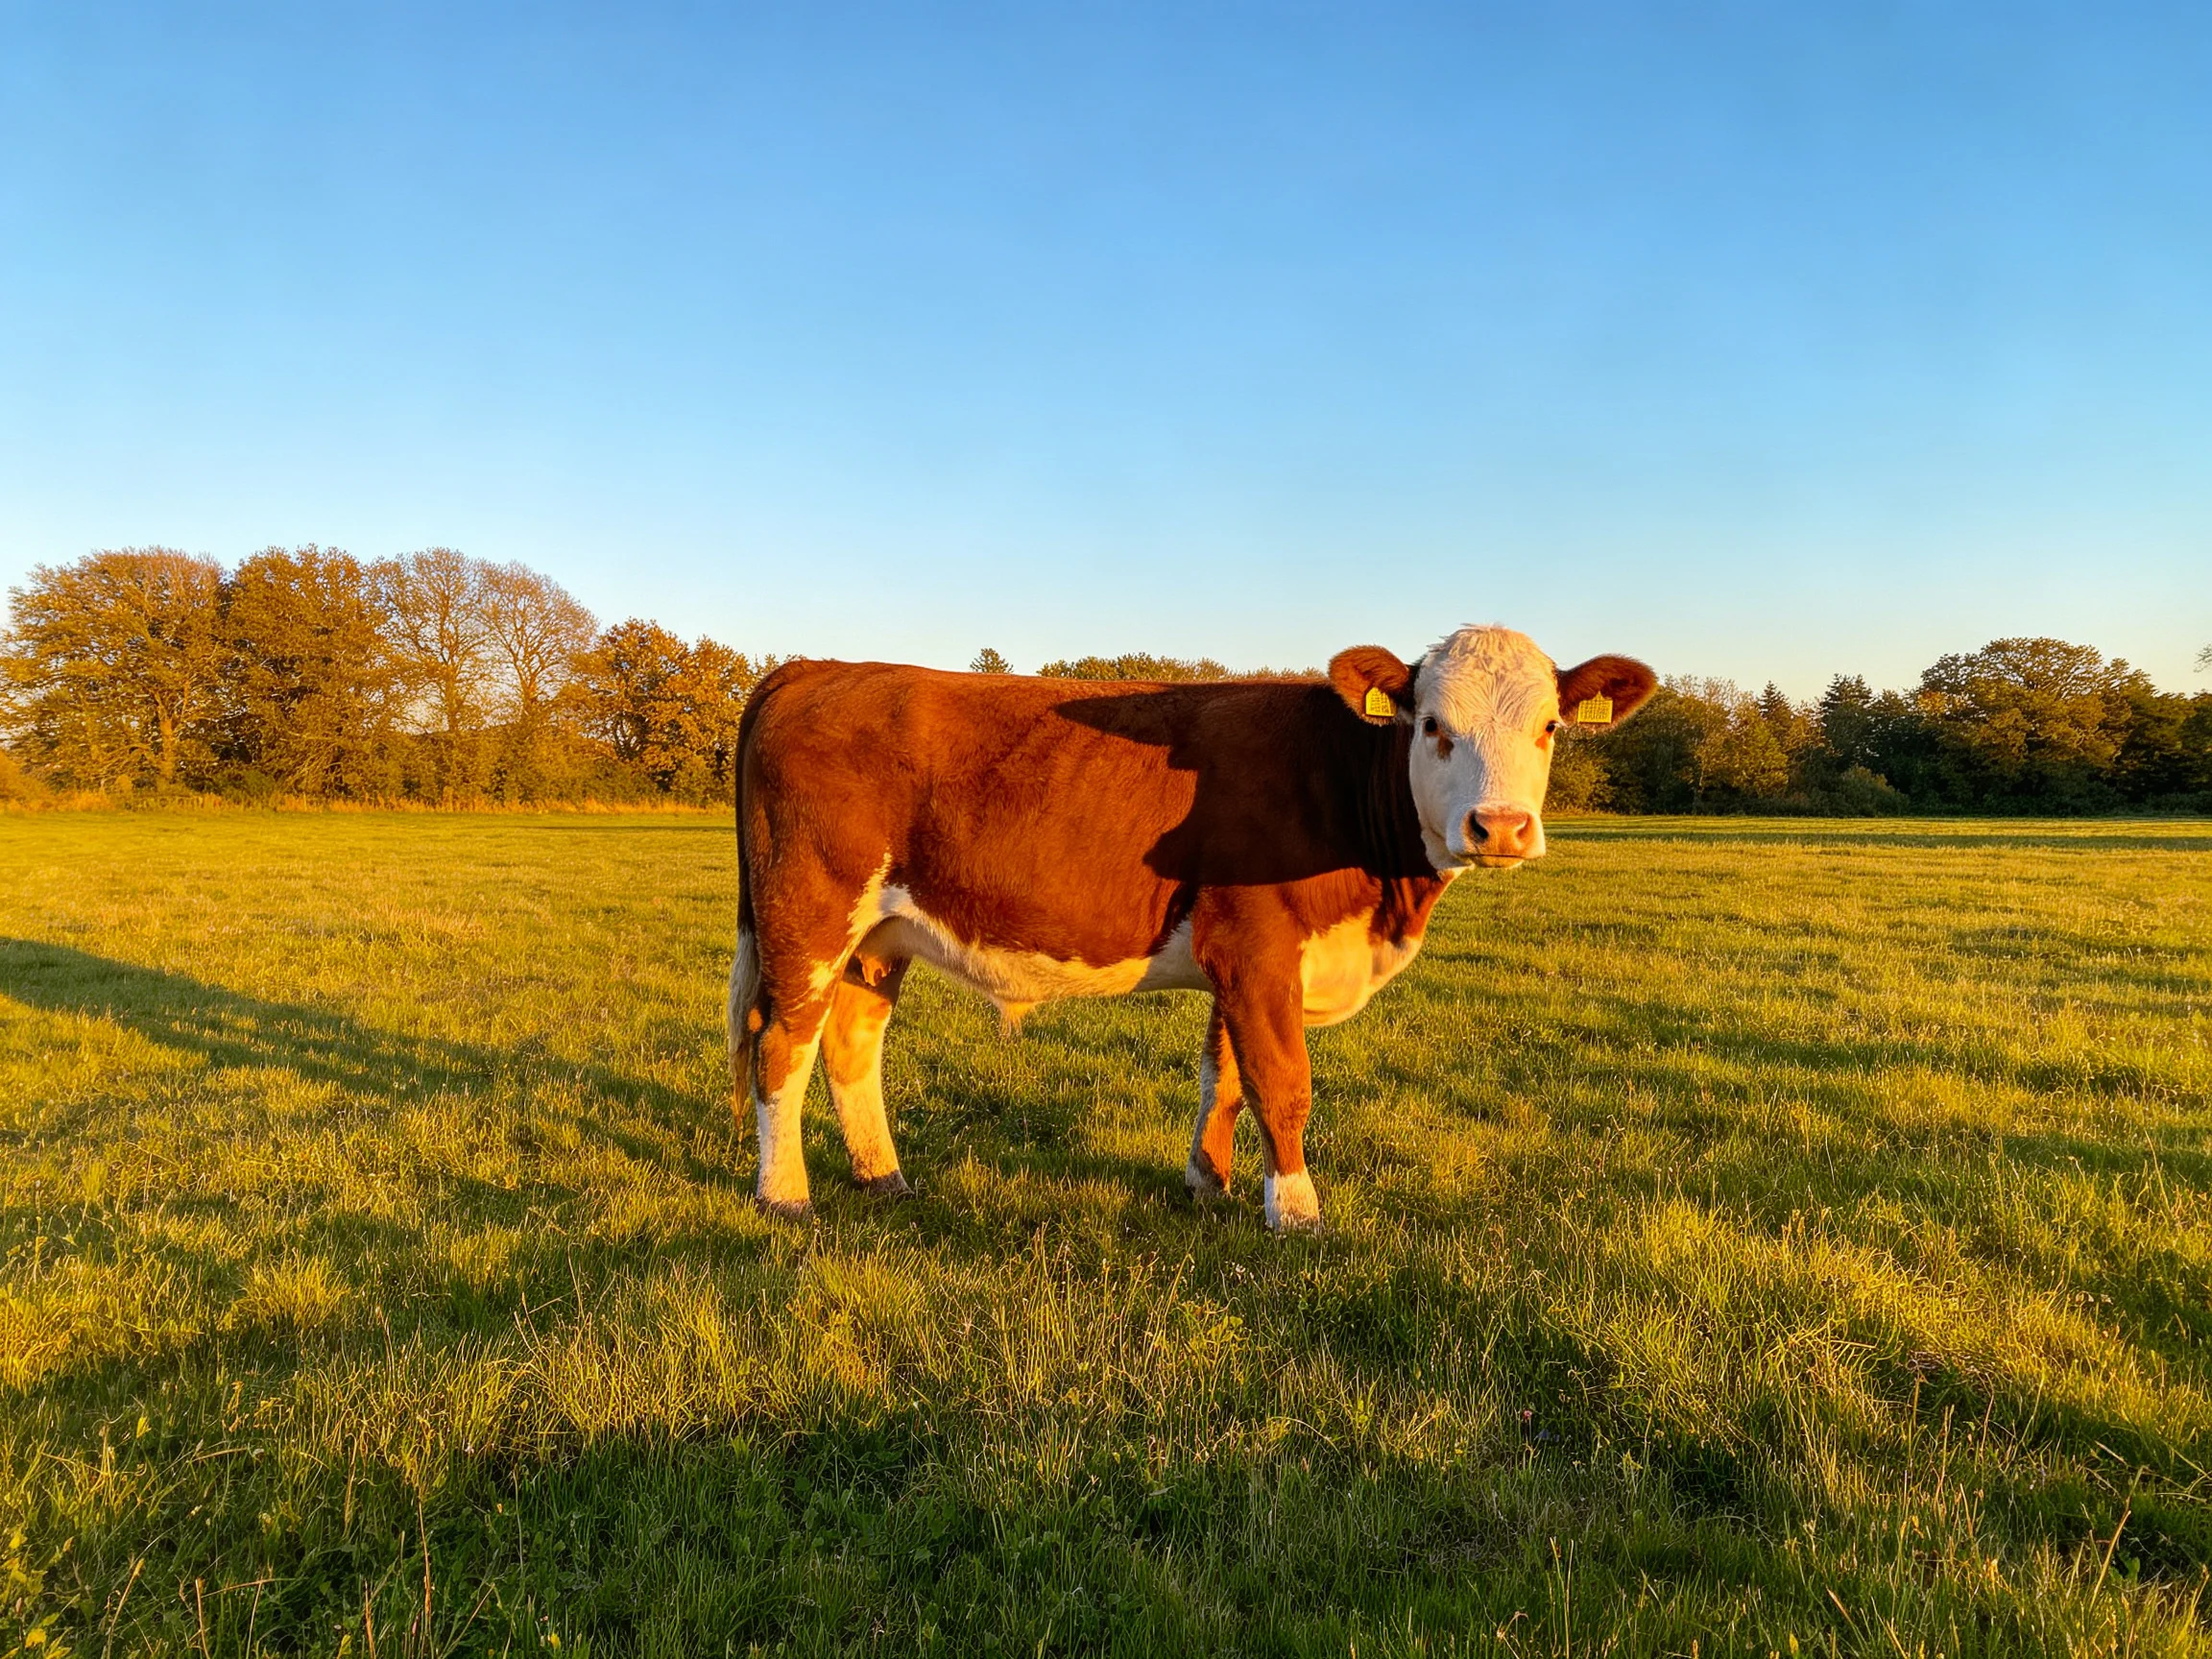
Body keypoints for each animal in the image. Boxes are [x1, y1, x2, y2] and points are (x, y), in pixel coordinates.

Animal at [726, 625, 1656, 1232]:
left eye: (1548, 726)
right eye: (1432, 726)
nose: (1498, 827)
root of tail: (817, 667)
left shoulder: (1239, 957)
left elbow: (1226, 1078)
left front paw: (1208, 1183)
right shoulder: (1257, 947)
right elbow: (1283, 1081)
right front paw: (1297, 1210)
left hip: (876, 937)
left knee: (851, 1041)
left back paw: (882, 1177)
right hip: (807, 913)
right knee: (782, 1043)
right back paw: (786, 1195)